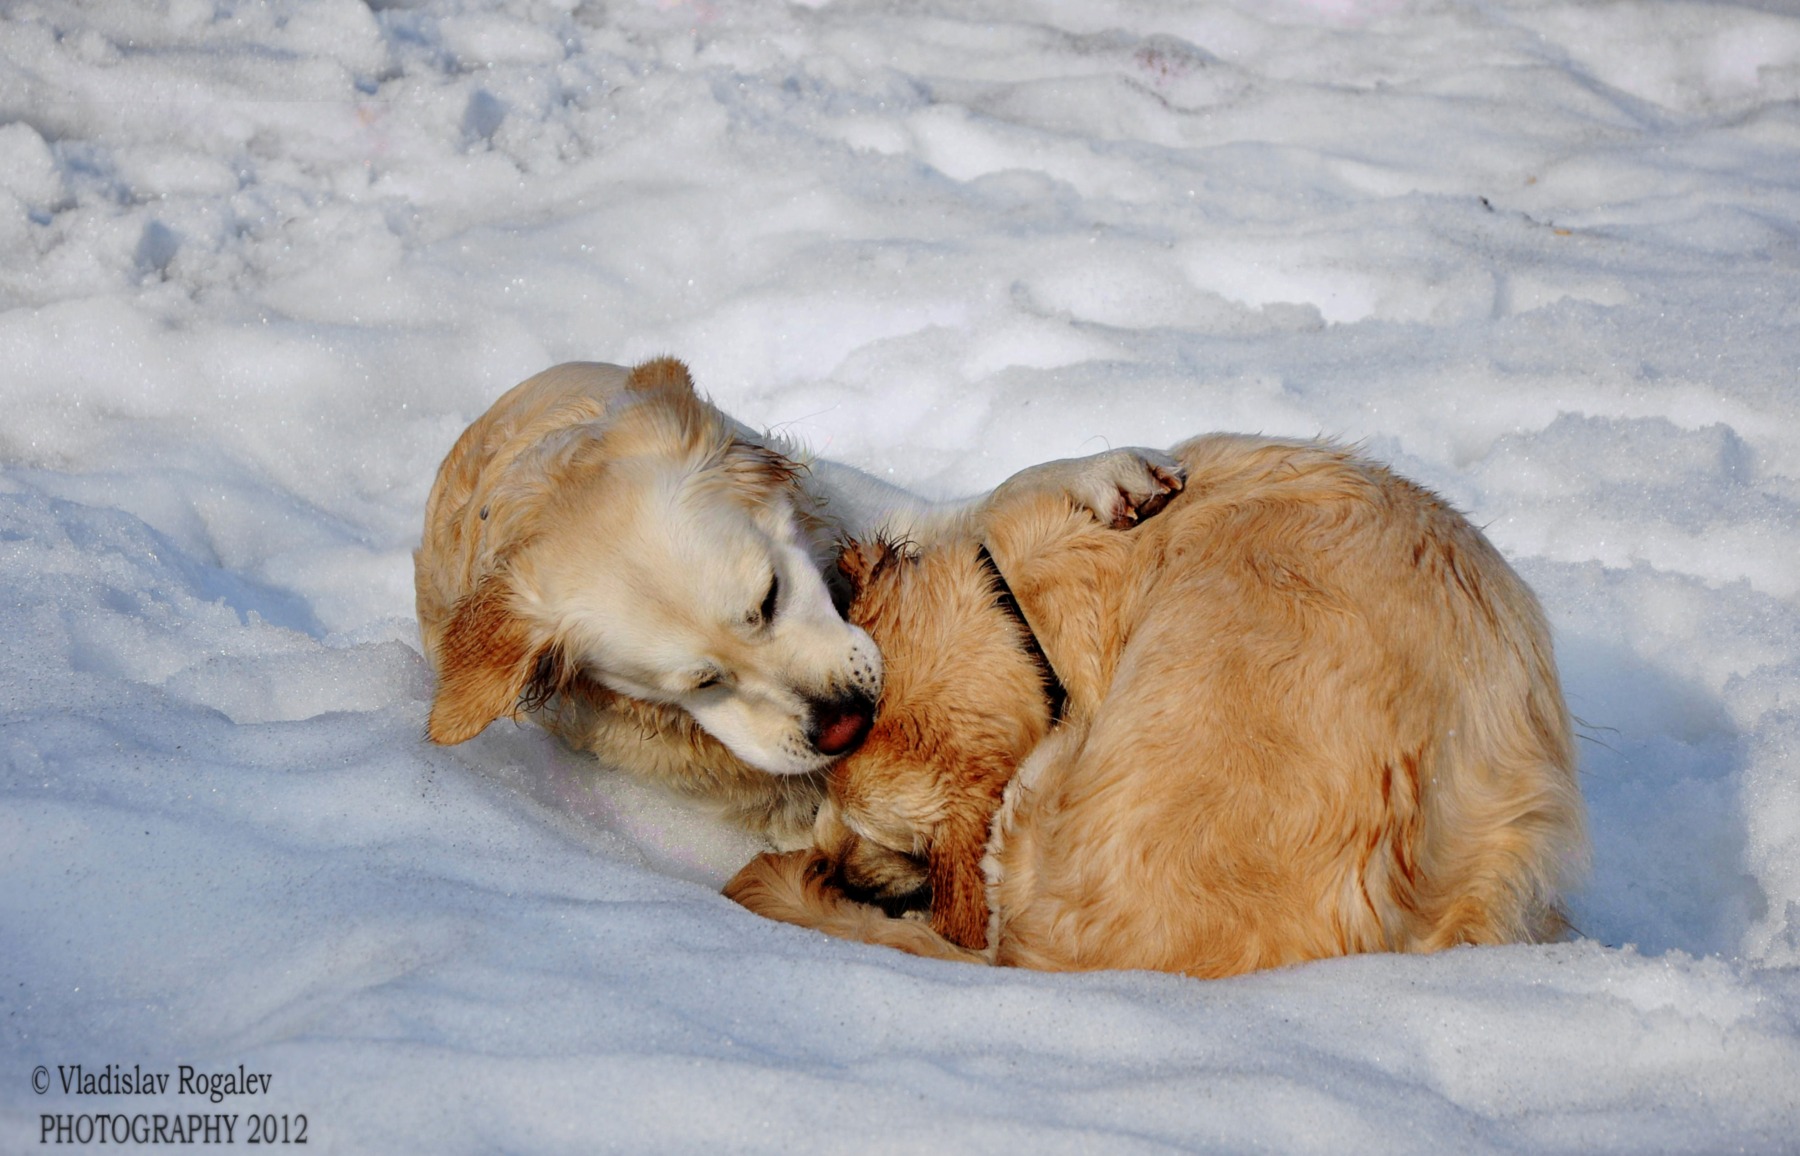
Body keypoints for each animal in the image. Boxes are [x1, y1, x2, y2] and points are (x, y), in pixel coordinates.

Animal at [414, 356, 1188, 842]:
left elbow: (994, 499)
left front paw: (1099, 474)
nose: (845, 726)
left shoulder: (860, 515)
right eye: (702, 682)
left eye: (769, 596)